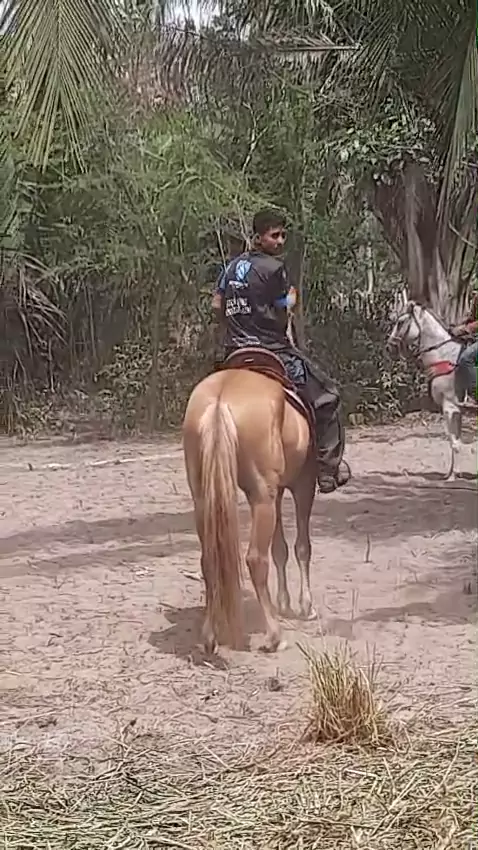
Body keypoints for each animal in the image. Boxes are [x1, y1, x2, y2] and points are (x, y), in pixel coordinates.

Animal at [182, 347, 319, 655]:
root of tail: (220, 401)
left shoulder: (277, 491)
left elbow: (280, 548)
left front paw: (284, 602)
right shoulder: (303, 484)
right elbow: (301, 547)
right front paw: (305, 605)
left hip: (205, 498)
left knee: (209, 558)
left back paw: (210, 637)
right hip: (262, 497)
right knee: (256, 558)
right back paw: (274, 636)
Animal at [386, 299, 470, 481]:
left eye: (400, 322)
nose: (389, 347)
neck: (444, 356)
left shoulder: (449, 408)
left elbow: (454, 442)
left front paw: (452, 477)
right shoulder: (457, 410)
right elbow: (455, 440)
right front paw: (452, 473)